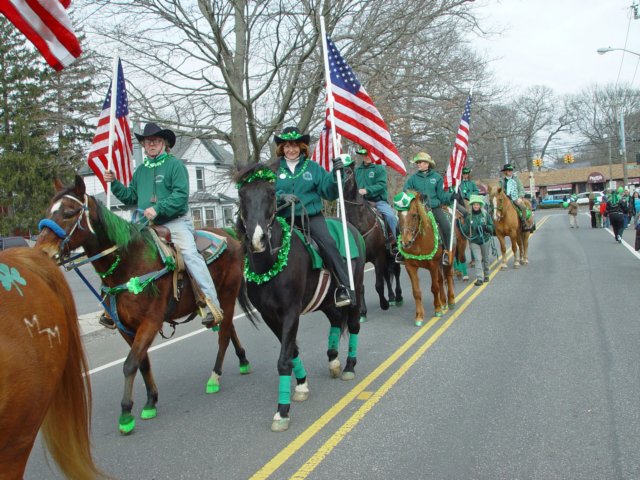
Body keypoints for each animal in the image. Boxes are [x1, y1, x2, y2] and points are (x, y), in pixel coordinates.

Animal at [36, 175, 256, 436]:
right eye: (48, 210)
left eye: (69, 212)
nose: (41, 252)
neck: (129, 263)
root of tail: (228, 235)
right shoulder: (126, 327)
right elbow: (142, 363)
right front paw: (151, 401)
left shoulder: (150, 322)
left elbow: (130, 364)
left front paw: (126, 414)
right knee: (228, 327)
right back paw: (243, 360)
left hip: (228, 294)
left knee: (223, 334)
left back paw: (215, 376)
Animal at [235, 163, 364, 434]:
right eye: (242, 195)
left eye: (271, 193)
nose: (257, 239)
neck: (271, 262)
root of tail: (351, 228)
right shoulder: (270, 316)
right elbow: (291, 350)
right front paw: (302, 385)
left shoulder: (290, 313)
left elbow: (284, 359)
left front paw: (282, 412)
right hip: (325, 300)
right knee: (335, 320)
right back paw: (333, 361)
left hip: (355, 290)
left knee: (354, 325)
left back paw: (348, 366)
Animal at [342, 163, 402, 320]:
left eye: (349, 171)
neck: (361, 224)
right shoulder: (359, 261)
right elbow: (361, 286)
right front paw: (362, 312)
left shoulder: (378, 257)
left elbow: (378, 284)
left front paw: (384, 304)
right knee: (388, 274)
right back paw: (391, 297)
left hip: (392, 254)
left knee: (396, 272)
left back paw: (398, 298)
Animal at [396, 191, 456, 326]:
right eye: (398, 215)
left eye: (414, 215)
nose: (405, 242)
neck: (419, 242)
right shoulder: (410, 267)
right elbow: (416, 292)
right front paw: (419, 316)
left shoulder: (432, 265)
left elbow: (434, 287)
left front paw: (437, 310)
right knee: (441, 280)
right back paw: (443, 302)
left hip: (448, 259)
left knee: (448, 276)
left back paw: (451, 301)